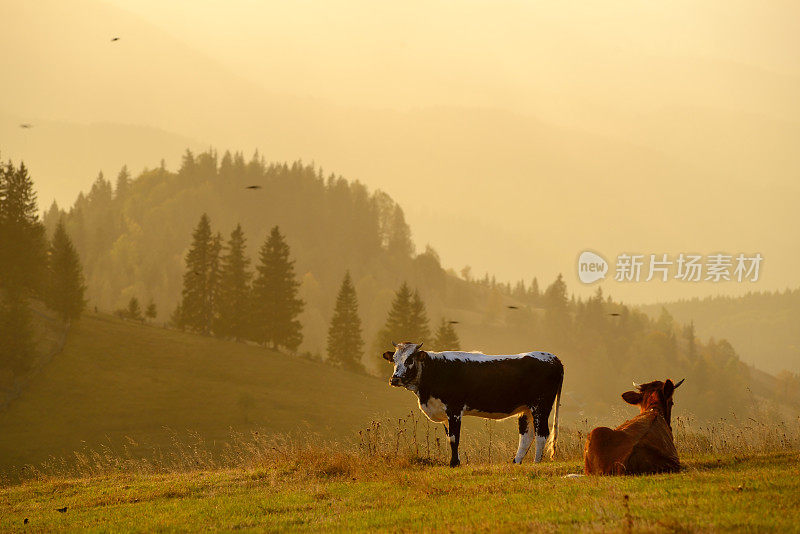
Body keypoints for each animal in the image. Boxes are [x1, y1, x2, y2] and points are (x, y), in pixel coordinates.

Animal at [382, 344, 564, 468]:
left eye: (409, 360)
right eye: (394, 360)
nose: (394, 379)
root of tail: (553, 357)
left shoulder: (454, 409)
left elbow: (454, 438)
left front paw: (453, 464)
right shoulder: (444, 413)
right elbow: (449, 438)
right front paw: (455, 462)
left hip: (541, 406)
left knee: (542, 434)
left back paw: (536, 462)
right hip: (526, 409)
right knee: (526, 436)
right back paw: (515, 462)